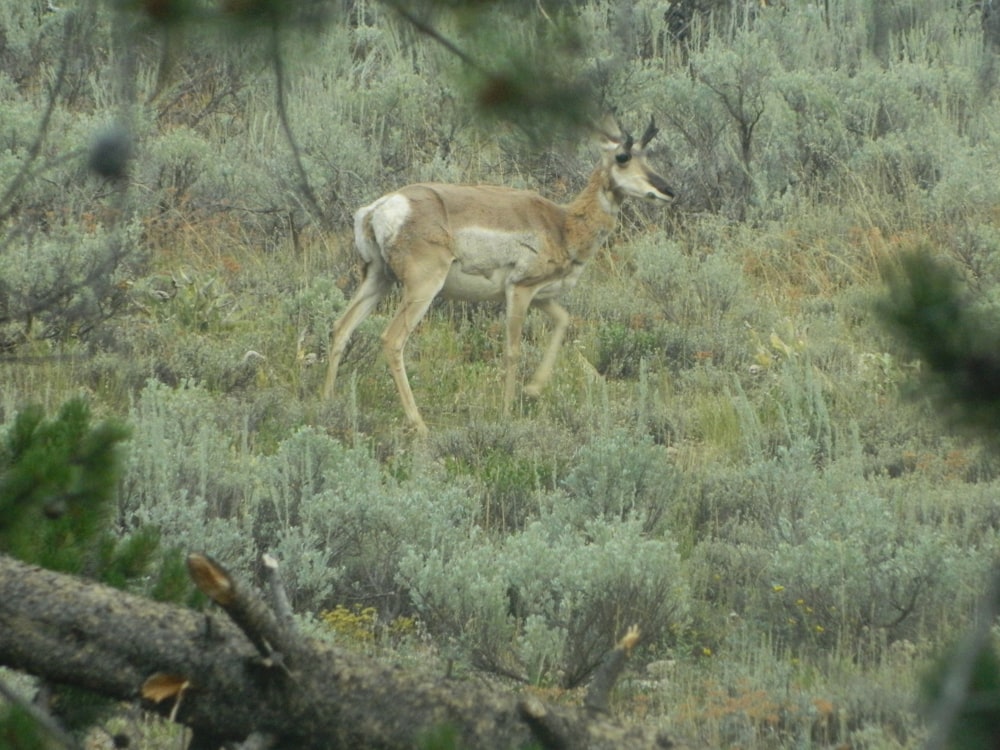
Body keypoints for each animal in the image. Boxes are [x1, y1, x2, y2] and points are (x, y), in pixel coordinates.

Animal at [324, 117, 676, 434]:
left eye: (647, 154)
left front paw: (532, 389)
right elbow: (512, 350)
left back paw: (325, 401)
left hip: (377, 279)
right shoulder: (519, 290)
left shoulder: (542, 296)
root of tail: (381, 207)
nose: (668, 190)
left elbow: (563, 321)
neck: (562, 223)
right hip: (422, 288)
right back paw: (419, 423)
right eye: (623, 156)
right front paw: (507, 412)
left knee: (341, 327)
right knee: (392, 339)